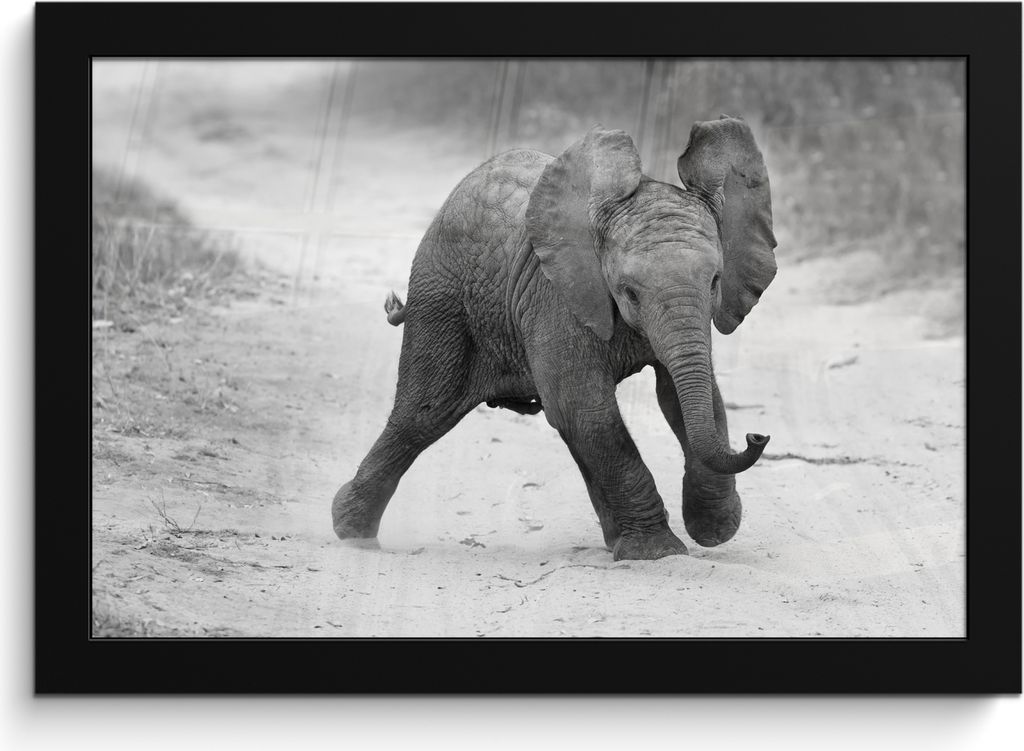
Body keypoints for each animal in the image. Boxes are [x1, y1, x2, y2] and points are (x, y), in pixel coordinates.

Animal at [332, 116, 778, 561]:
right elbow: (585, 408)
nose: (758, 436)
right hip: (441, 298)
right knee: (423, 412)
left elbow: (686, 397)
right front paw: (658, 553)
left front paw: (713, 530)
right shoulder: (556, 295)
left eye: (715, 281)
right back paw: (351, 530)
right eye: (629, 292)